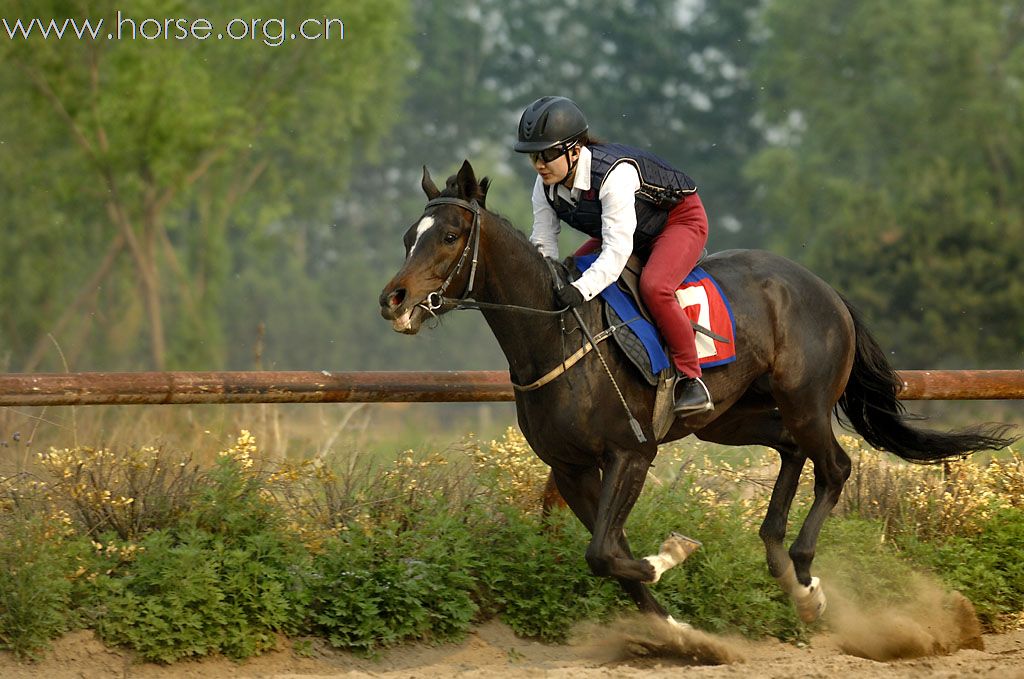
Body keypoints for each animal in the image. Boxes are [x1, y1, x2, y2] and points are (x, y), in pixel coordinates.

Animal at [380, 161, 1019, 630]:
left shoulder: (631, 452)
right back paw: (780, 564)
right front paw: (675, 631)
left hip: (805, 401)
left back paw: (805, 578)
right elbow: (607, 554)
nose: (394, 299)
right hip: (732, 418)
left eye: (451, 236)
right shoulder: (569, 468)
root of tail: (827, 290)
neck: (556, 334)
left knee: (835, 466)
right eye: (409, 236)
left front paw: (672, 556)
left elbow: (607, 552)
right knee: (791, 450)